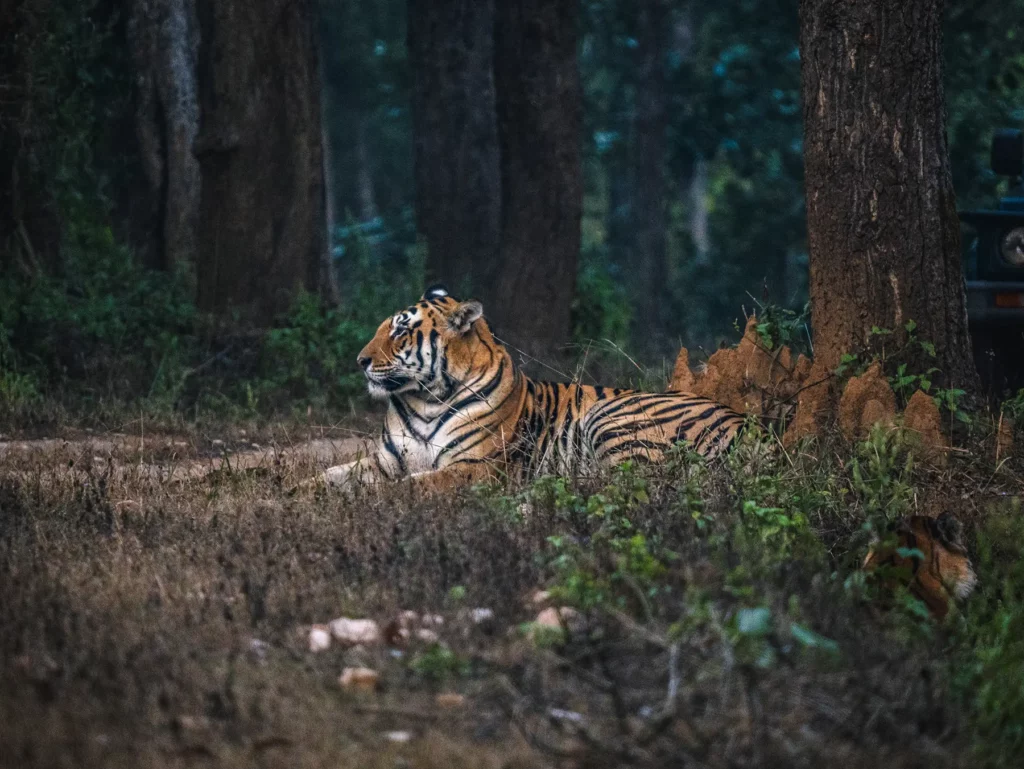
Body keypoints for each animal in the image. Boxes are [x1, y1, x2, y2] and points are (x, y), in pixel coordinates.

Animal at [316, 285, 746, 495]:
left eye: (400, 331)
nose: (360, 360)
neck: (424, 399)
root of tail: (748, 425)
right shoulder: (384, 463)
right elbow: (329, 475)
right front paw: (305, 494)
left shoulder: (476, 466)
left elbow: (412, 486)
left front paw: (368, 503)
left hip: (611, 418)